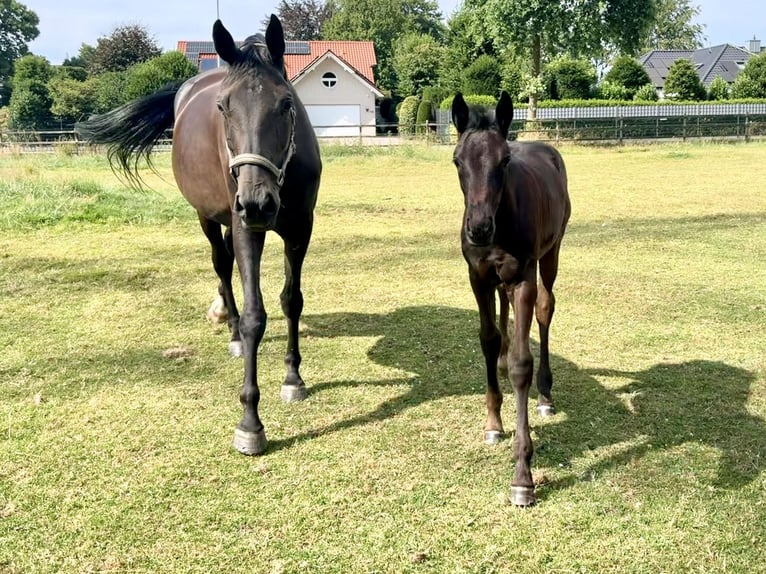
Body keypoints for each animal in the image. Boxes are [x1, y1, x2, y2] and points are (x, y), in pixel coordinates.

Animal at [76, 16, 322, 456]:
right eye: (223, 107)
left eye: (286, 103)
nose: (257, 202)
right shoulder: (247, 229)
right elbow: (255, 316)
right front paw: (250, 422)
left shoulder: (300, 228)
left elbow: (291, 301)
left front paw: (293, 378)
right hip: (209, 215)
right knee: (222, 264)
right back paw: (230, 326)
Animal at [451, 91, 571, 506]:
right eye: (457, 160)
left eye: (504, 161)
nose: (478, 228)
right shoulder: (478, 276)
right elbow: (487, 340)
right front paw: (493, 422)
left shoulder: (523, 278)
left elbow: (522, 363)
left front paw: (523, 476)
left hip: (551, 254)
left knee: (546, 311)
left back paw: (546, 395)